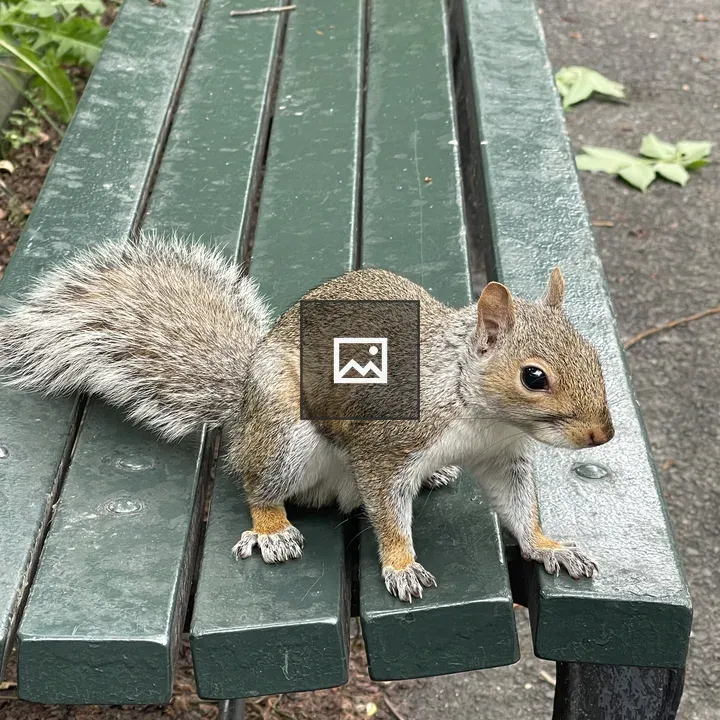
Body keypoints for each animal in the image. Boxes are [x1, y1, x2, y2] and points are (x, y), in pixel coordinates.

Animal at [0, 235, 614, 602]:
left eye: (592, 350)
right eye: (533, 376)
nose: (602, 434)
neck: (476, 407)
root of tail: (243, 411)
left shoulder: (501, 456)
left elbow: (519, 506)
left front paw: (548, 545)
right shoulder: (385, 449)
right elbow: (389, 512)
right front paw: (401, 564)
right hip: (284, 436)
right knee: (258, 483)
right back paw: (272, 529)